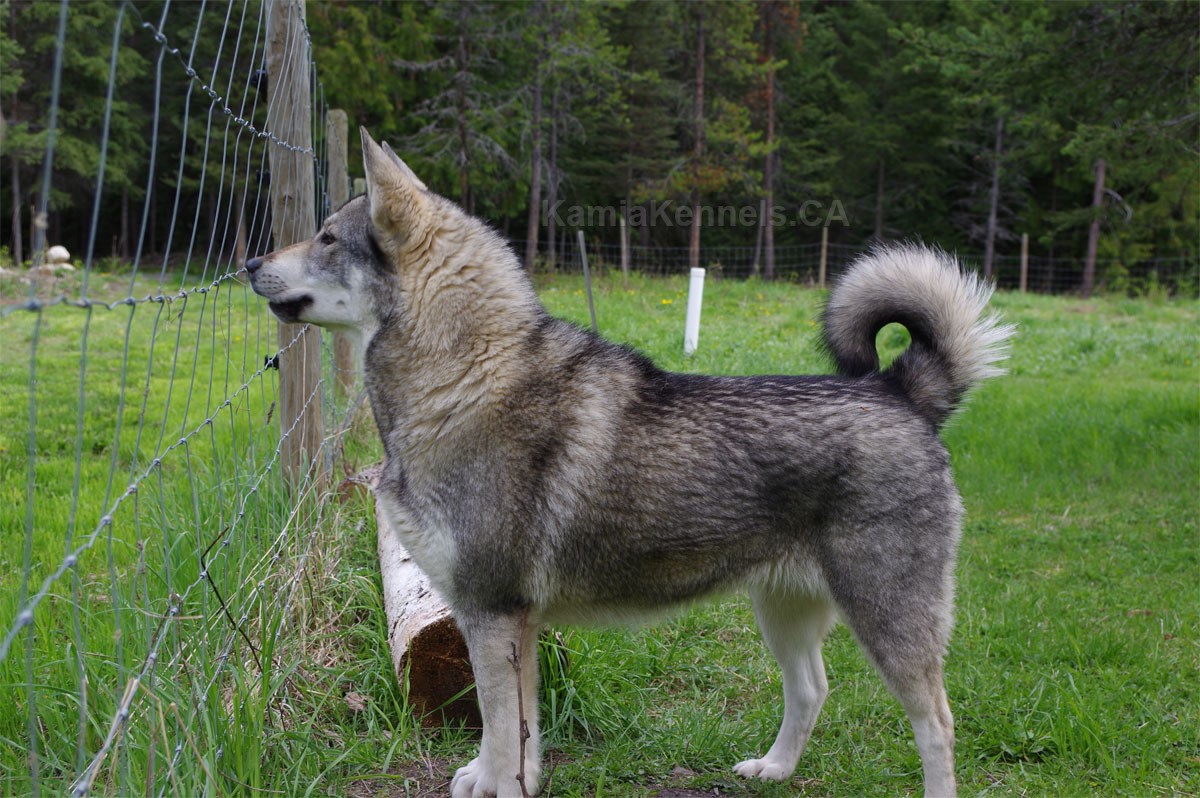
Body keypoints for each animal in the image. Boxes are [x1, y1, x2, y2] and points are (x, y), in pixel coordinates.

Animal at [246, 129, 1012, 796]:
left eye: (327, 237)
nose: (250, 265)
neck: (464, 379)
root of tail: (900, 391)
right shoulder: (498, 620)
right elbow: (514, 730)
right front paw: (500, 779)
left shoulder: (493, 613)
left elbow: (501, 727)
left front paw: (497, 786)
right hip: (782, 610)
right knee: (812, 689)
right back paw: (773, 769)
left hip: (888, 620)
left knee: (937, 724)